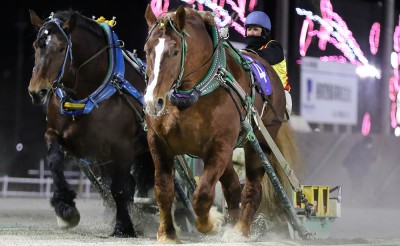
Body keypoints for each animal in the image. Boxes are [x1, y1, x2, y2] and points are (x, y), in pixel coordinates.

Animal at [28, 9, 154, 236]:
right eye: (36, 45)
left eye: (61, 48)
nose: (37, 91)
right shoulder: (56, 134)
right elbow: (54, 160)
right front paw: (65, 208)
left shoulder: (122, 146)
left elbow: (119, 188)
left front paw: (123, 227)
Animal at [144, 4, 300, 243]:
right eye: (146, 50)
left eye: (175, 51)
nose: (153, 102)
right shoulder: (158, 142)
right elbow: (163, 189)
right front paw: (167, 234)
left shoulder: (220, 144)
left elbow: (202, 194)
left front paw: (210, 223)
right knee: (233, 187)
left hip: (258, 143)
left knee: (252, 190)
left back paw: (240, 230)